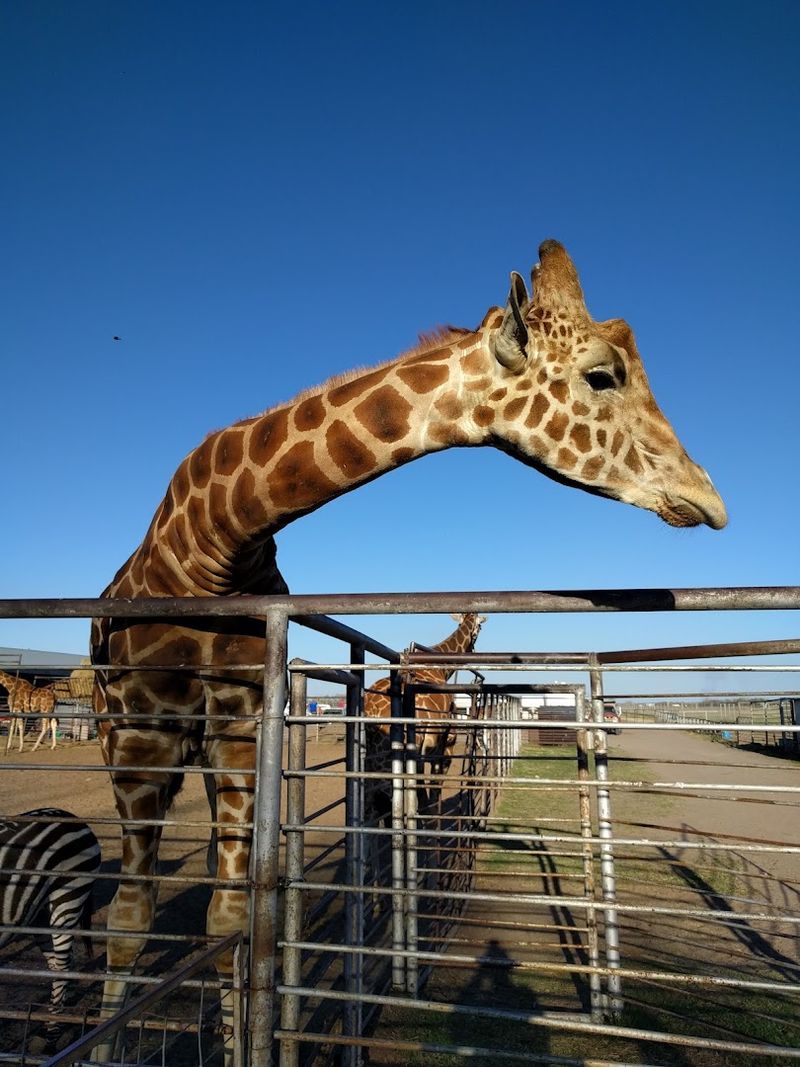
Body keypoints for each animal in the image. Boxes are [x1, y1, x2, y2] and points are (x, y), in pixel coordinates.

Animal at [90, 240, 726, 1059]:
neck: (212, 542)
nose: (709, 497)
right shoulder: (143, 735)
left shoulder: (242, 728)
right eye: (601, 373)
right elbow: (128, 925)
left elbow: (231, 919)